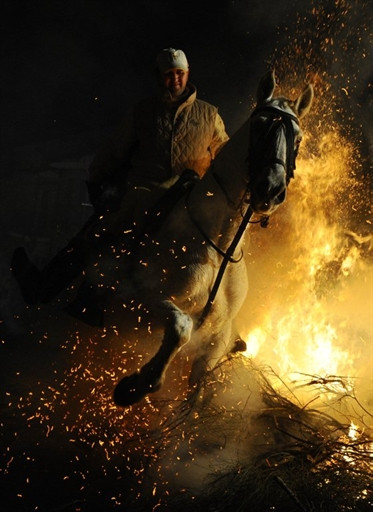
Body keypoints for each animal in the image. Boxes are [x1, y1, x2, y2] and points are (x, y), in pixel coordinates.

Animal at [112, 70, 312, 406]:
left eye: (297, 138)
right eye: (259, 126)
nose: (270, 189)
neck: (219, 251)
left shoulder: (215, 345)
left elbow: (194, 400)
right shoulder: (141, 299)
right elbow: (181, 327)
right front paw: (136, 385)